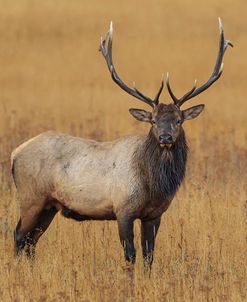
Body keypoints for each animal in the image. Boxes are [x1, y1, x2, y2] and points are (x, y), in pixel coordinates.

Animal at [11, 18, 232, 268]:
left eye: (178, 120)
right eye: (153, 121)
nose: (165, 138)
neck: (153, 186)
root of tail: (15, 154)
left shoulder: (154, 214)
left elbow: (149, 256)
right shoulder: (123, 209)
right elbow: (131, 255)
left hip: (49, 205)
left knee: (31, 241)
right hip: (30, 197)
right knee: (19, 235)